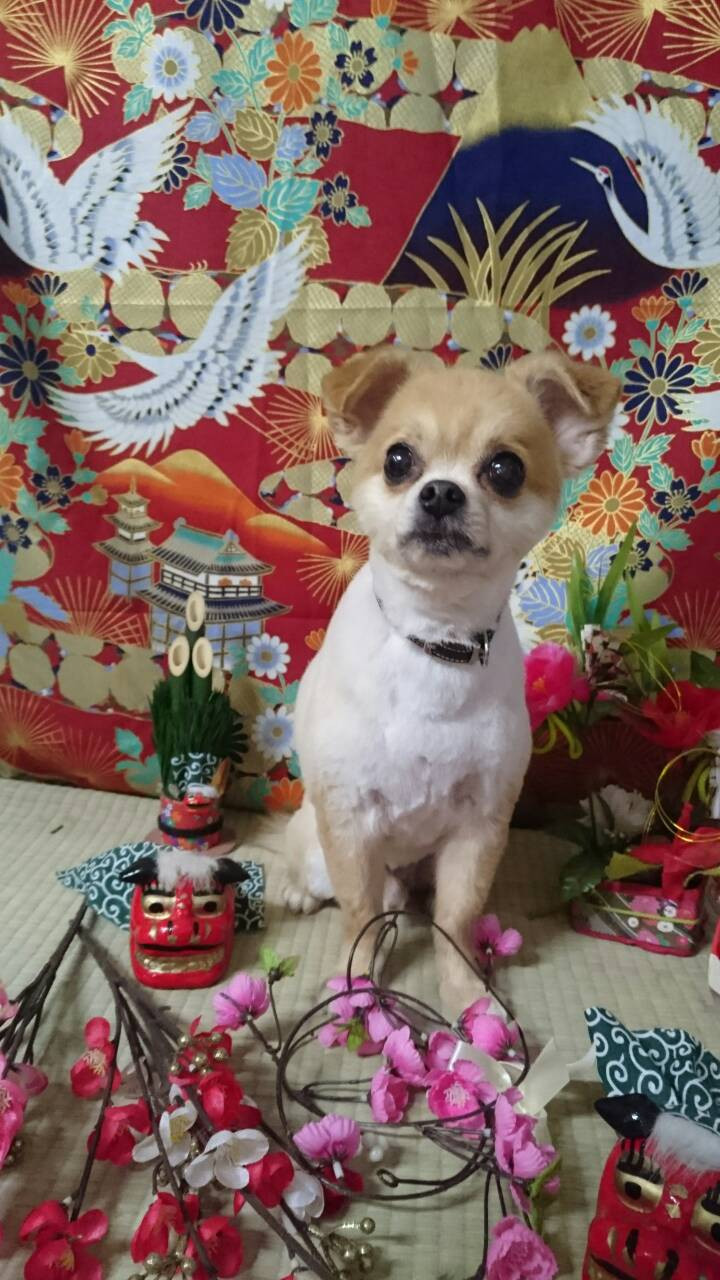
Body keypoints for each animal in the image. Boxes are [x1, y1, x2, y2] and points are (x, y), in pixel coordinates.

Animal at [282, 345, 619, 1008]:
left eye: (505, 469)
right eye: (398, 460)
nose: (440, 493)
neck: (435, 643)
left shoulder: (479, 827)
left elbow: (455, 922)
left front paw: (466, 997)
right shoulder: (350, 823)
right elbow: (360, 917)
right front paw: (356, 990)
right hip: (317, 836)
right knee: (332, 880)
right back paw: (299, 891)